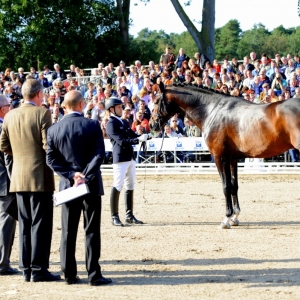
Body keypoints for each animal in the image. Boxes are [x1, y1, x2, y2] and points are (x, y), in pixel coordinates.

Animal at [154, 82, 300, 227]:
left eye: (156, 101)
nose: (154, 124)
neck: (211, 110)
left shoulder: (220, 157)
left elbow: (226, 186)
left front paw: (226, 218)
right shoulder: (232, 159)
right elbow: (234, 186)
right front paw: (235, 217)